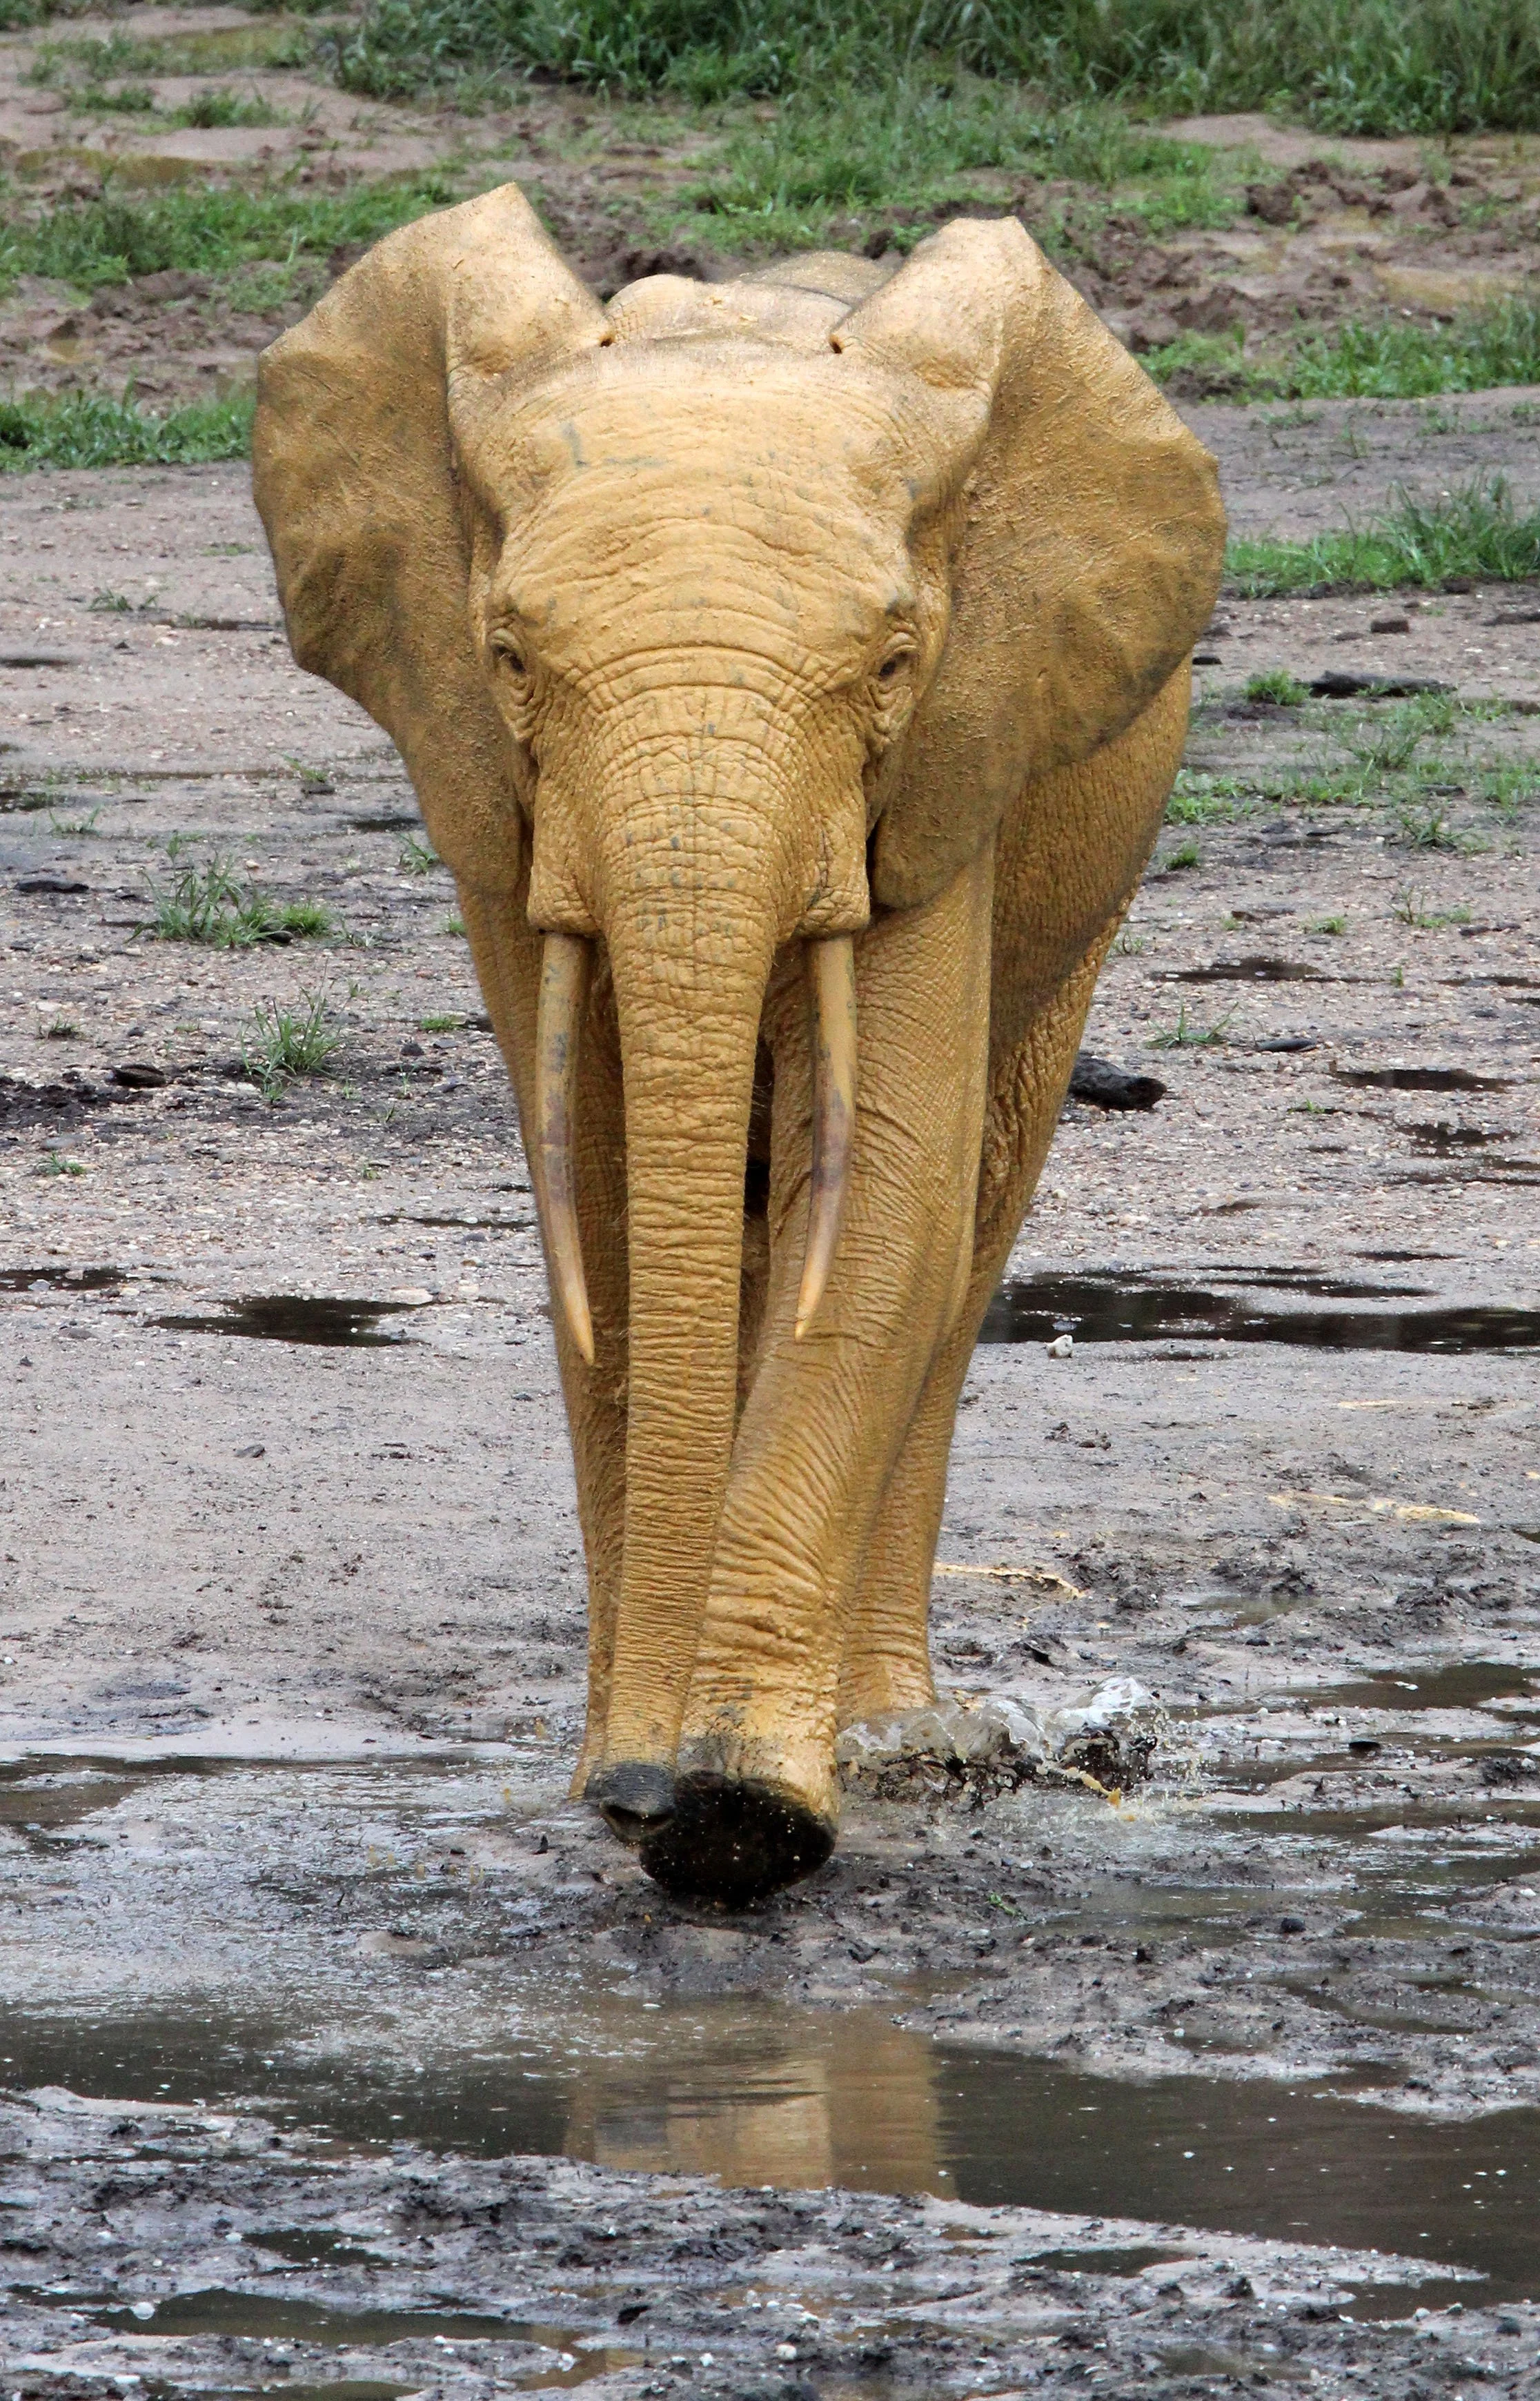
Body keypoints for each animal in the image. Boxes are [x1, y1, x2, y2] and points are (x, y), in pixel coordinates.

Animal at [252, 184, 1225, 1907]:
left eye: (892, 665)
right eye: (511, 660)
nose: (645, 1786)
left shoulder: (944, 775)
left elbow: (886, 1195)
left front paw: (743, 1821)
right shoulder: (495, 798)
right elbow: (609, 1197)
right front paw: (628, 1793)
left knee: (969, 1227)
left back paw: (892, 1739)